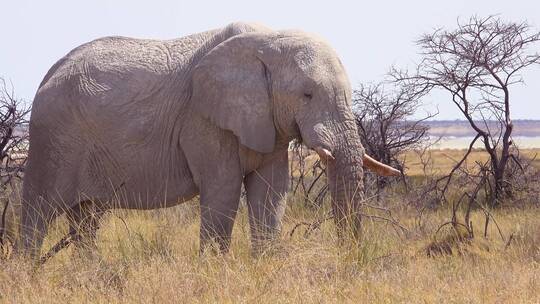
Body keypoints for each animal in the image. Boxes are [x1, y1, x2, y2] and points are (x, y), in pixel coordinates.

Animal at [19, 22, 398, 258]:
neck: (267, 41)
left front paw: (265, 267)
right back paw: (28, 273)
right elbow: (223, 188)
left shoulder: (266, 122)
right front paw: (215, 268)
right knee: (38, 213)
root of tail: (47, 75)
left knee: (86, 218)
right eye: (307, 95)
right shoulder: (202, 119)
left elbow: (271, 191)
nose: (349, 257)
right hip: (52, 139)